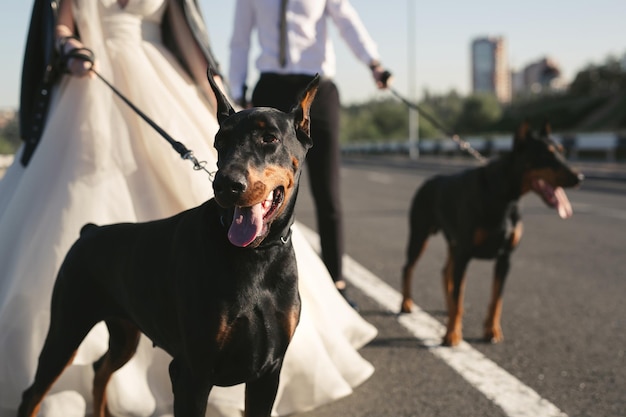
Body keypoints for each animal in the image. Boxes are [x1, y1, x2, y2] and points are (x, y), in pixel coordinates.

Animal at [17, 73, 320, 414]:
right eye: (221, 142)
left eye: (269, 138)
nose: (225, 185)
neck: (256, 257)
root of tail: (88, 232)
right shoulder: (192, 372)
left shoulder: (268, 371)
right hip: (67, 327)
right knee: (34, 392)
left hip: (124, 332)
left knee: (100, 368)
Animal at [400, 122, 580, 346]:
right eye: (545, 154)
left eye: (562, 151)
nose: (579, 177)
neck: (504, 195)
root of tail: (427, 182)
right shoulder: (465, 254)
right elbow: (460, 296)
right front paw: (452, 335)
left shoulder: (505, 257)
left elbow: (496, 299)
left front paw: (492, 331)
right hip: (420, 234)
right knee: (408, 267)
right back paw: (406, 304)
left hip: (452, 242)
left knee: (445, 271)